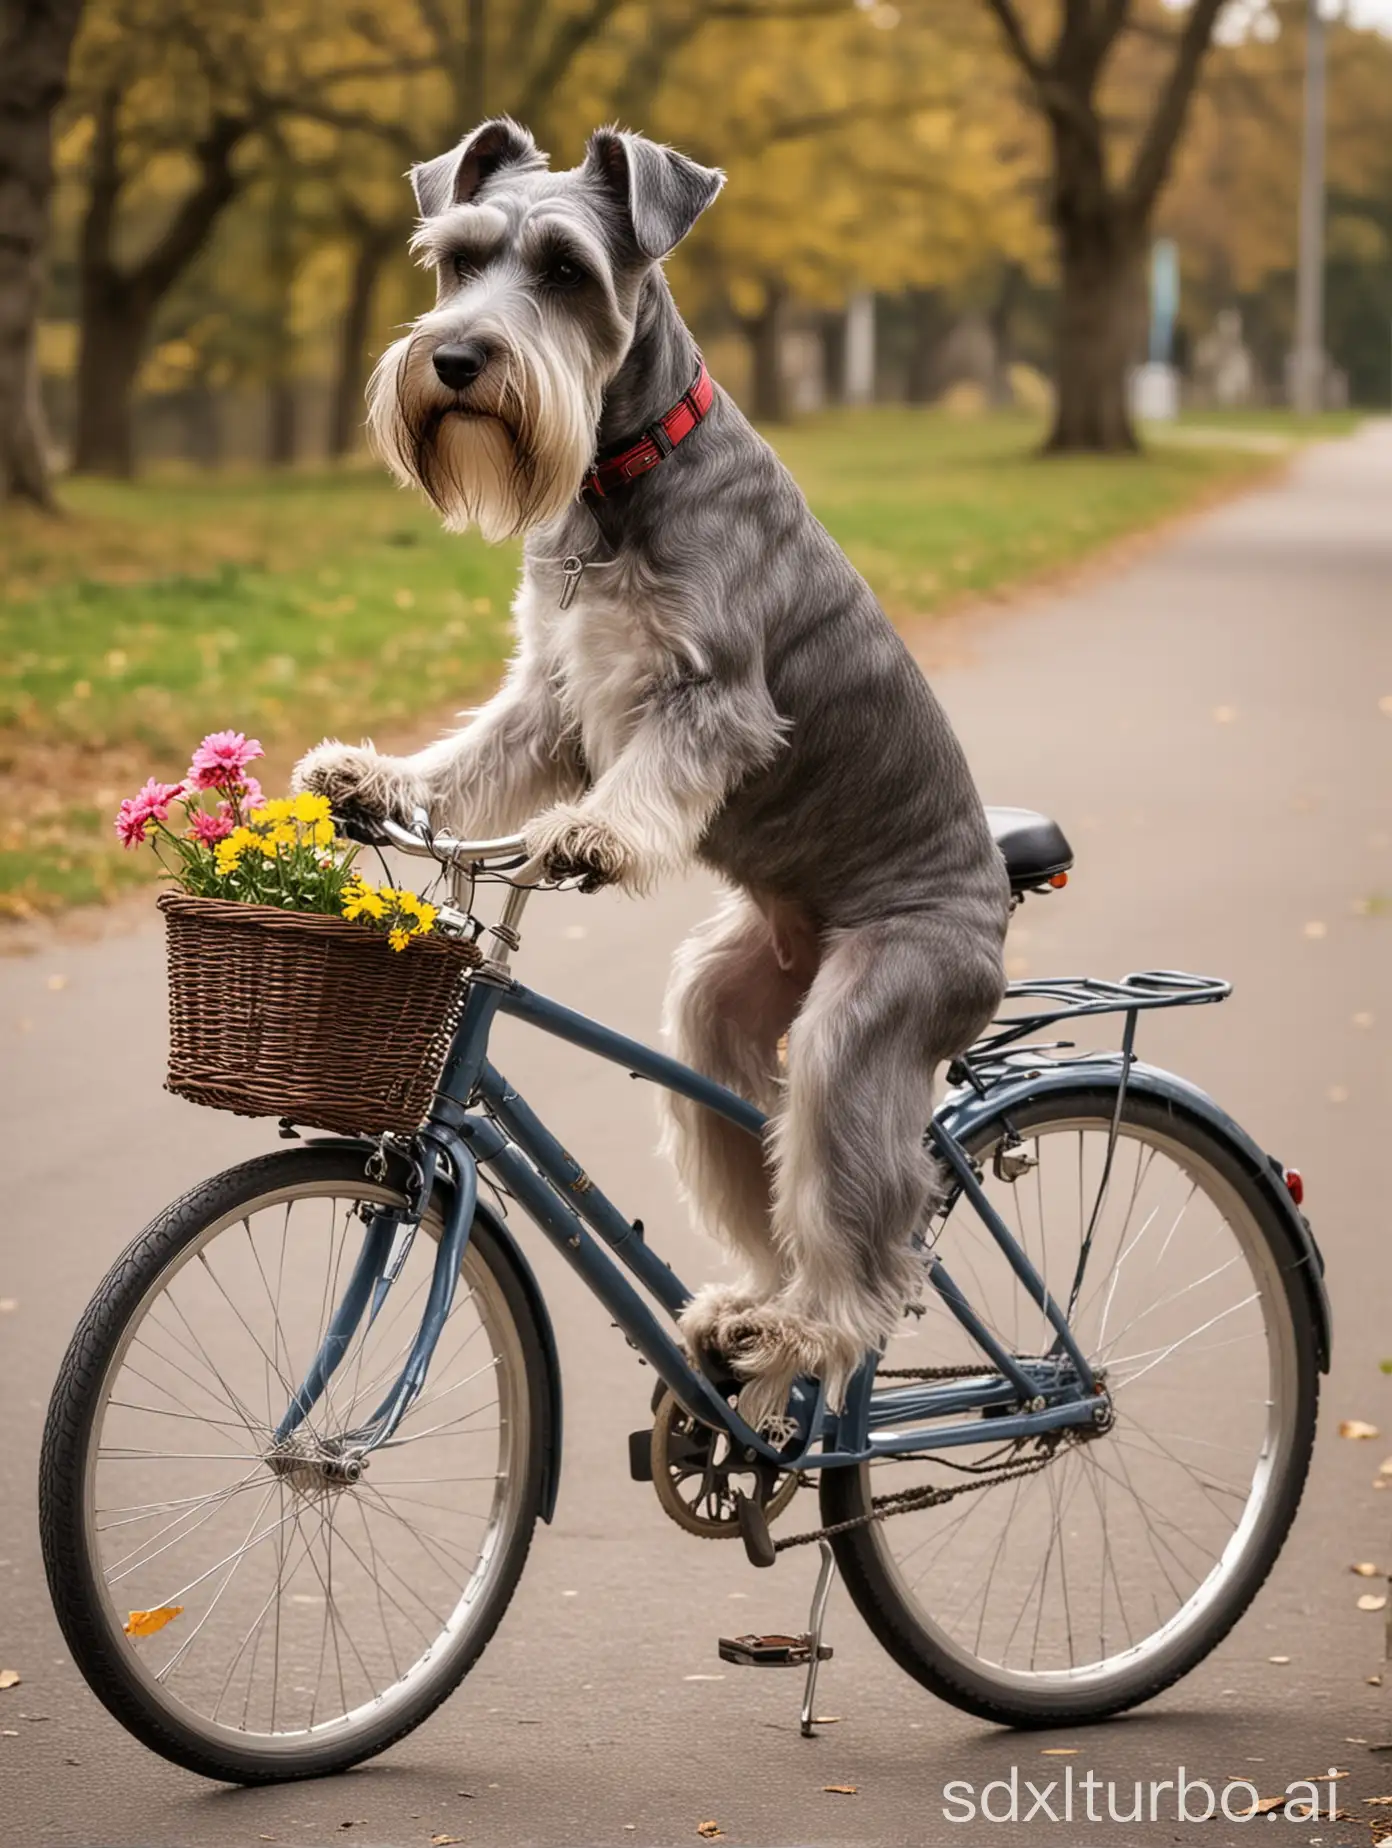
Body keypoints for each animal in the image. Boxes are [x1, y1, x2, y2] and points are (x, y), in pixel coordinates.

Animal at [295, 122, 1013, 1434]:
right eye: (456, 259)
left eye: (566, 270)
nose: (458, 358)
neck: (616, 473)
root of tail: (997, 917)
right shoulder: (552, 697)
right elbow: (472, 764)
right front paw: (374, 777)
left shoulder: (708, 698)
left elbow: (653, 773)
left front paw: (594, 839)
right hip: (727, 1011)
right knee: (768, 1169)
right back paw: (751, 1319)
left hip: (862, 1024)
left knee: (875, 1236)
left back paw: (807, 1329)